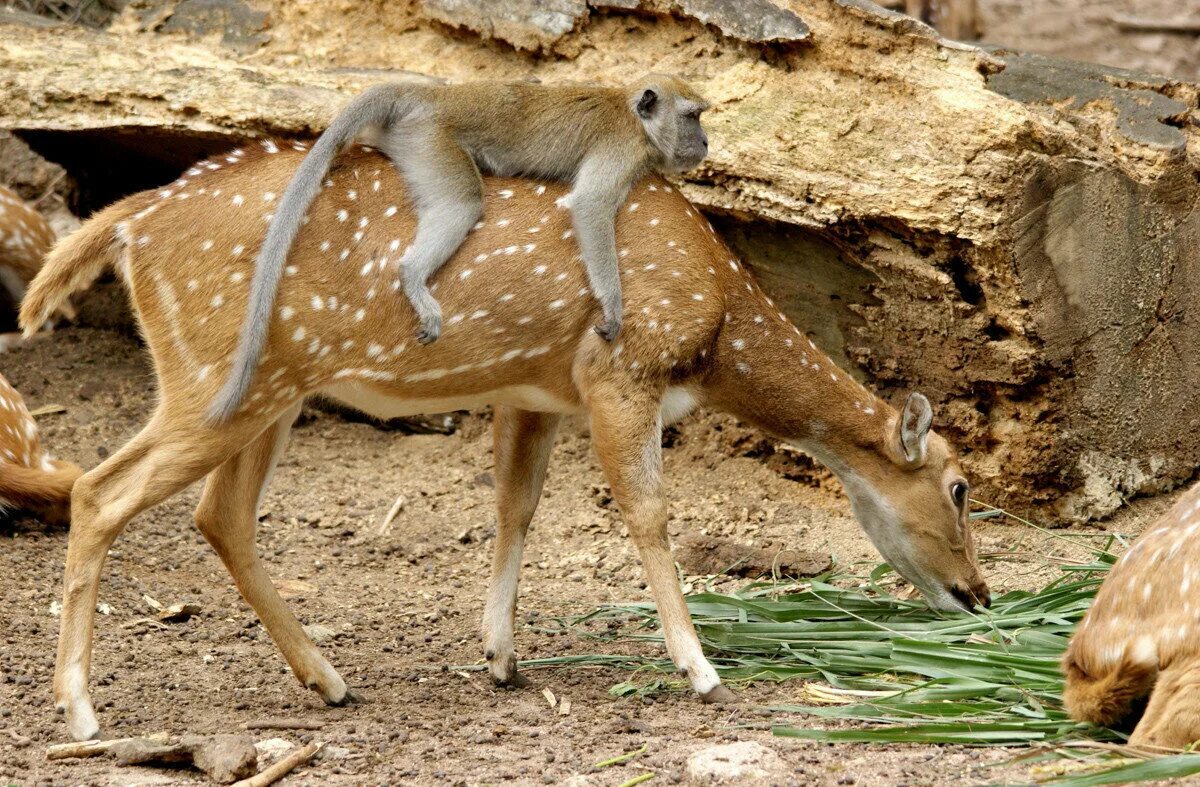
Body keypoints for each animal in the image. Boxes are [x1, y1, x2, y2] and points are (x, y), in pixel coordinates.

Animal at [21, 139, 993, 743]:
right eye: (959, 488)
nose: (980, 596)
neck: (718, 323)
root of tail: (130, 223)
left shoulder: (536, 392)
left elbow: (514, 508)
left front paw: (502, 658)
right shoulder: (619, 368)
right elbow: (647, 513)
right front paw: (701, 668)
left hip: (267, 390)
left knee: (218, 514)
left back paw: (328, 679)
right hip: (219, 373)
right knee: (99, 489)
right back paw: (81, 711)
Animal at [210, 73, 705, 424]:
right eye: (692, 116)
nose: (705, 141)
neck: (635, 116)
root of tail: (435, 97)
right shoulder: (623, 150)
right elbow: (590, 206)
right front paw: (613, 307)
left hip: (410, 143)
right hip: (433, 142)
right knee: (463, 201)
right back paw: (412, 276)